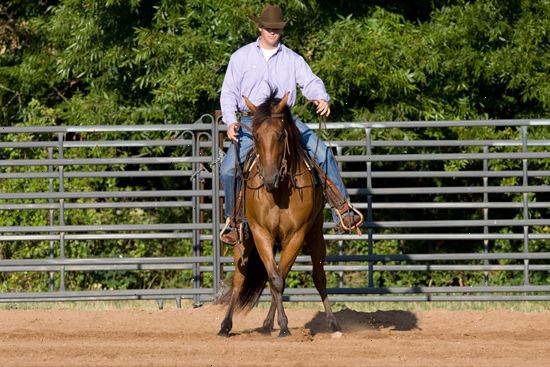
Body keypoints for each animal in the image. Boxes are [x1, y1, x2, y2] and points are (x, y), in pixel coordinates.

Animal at [219, 92, 340, 340]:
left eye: (281, 134)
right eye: (255, 135)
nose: (269, 177)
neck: (279, 191)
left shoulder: (297, 235)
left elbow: (279, 278)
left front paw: (282, 326)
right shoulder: (260, 233)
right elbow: (274, 278)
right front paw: (282, 325)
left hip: (315, 234)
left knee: (318, 276)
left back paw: (332, 323)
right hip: (243, 239)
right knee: (240, 278)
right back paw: (226, 325)